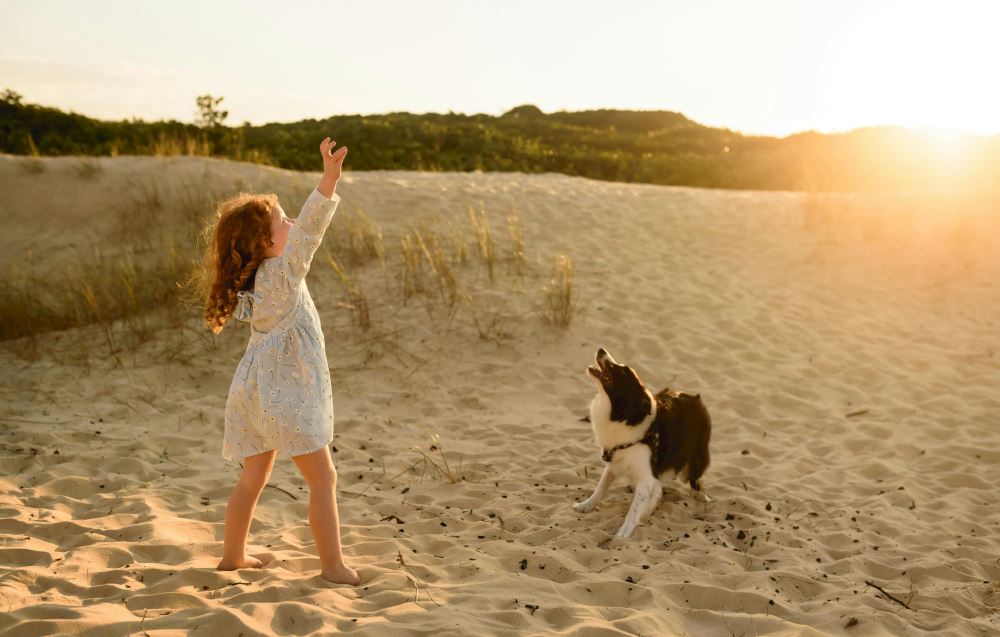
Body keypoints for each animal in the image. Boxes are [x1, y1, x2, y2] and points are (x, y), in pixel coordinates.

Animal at [572, 348, 712, 536]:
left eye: (622, 371)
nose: (601, 349)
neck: (624, 415)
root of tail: (694, 398)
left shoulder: (646, 476)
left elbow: (634, 509)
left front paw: (624, 533)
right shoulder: (615, 460)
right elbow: (601, 486)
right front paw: (586, 505)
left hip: (698, 451)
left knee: (695, 476)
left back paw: (700, 495)